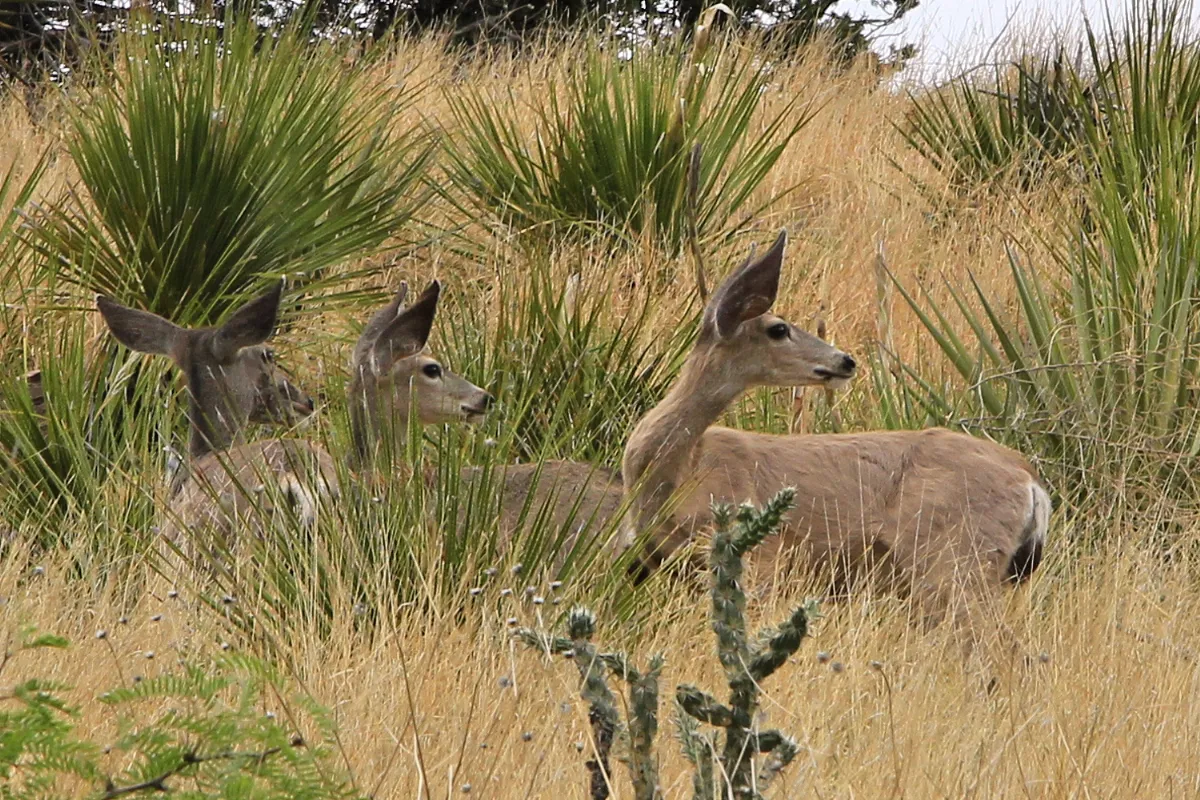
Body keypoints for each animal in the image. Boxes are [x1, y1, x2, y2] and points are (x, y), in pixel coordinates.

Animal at [620, 230, 1051, 660]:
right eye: (779, 328)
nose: (846, 360)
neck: (678, 471)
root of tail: (1031, 483)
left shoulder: (762, 558)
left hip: (954, 560)